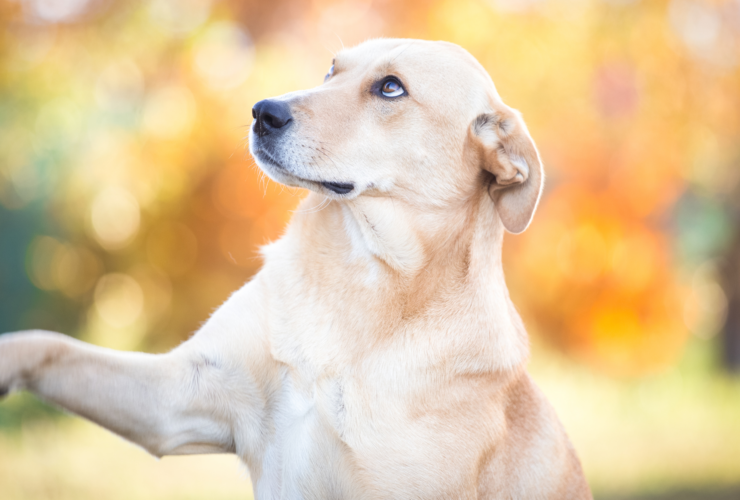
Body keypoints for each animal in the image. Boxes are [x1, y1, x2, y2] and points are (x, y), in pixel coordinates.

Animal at [0, 40, 592, 500]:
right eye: (332, 69)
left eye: (391, 88)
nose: (263, 111)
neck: (359, 276)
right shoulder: (176, 400)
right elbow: (47, 345)